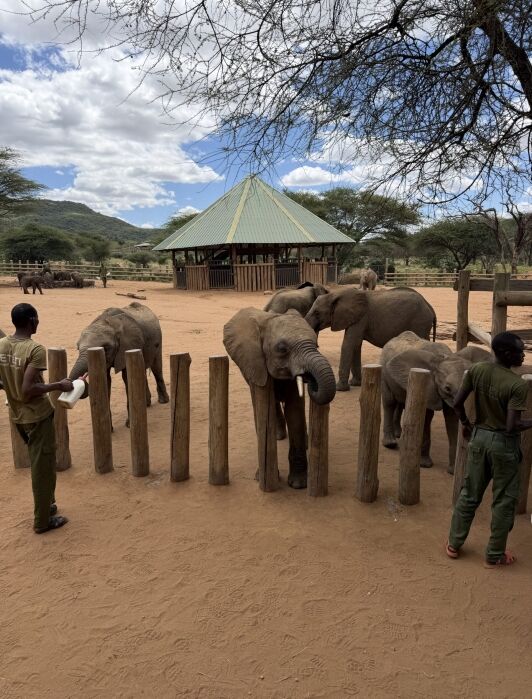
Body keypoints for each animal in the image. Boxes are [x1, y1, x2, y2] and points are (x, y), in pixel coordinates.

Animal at [223, 307, 336, 488]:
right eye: (282, 349)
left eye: (316, 345)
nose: (311, 379)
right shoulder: (256, 365)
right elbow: (259, 409)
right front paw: (262, 478)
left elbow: (294, 411)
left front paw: (298, 484)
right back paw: (278, 436)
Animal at [305, 286, 437, 390]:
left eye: (317, 313)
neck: (335, 294)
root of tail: (430, 307)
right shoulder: (355, 318)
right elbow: (356, 345)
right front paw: (355, 384)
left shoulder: (362, 317)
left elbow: (349, 343)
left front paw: (340, 389)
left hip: (420, 322)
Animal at [381, 331, 475, 473]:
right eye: (447, 388)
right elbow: (426, 416)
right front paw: (425, 465)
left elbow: (451, 419)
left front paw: (452, 471)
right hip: (384, 371)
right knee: (389, 401)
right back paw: (391, 443)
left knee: (401, 402)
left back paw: (399, 434)